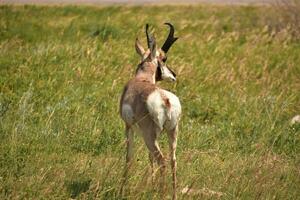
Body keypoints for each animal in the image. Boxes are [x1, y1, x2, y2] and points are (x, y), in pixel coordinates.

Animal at [119, 23, 180, 198]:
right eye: (164, 59)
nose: (174, 75)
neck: (142, 79)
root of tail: (165, 99)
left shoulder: (129, 128)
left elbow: (129, 157)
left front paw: (122, 190)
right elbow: (149, 157)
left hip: (149, 136)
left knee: (162, 160)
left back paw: (161, 194)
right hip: (171, 132)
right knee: (172, 160)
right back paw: (173, 195)